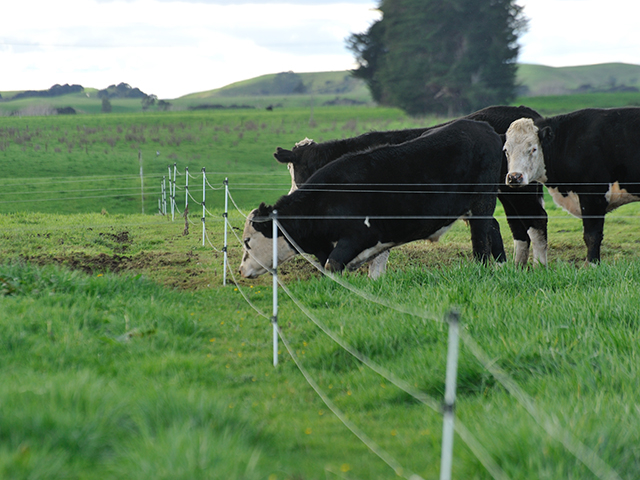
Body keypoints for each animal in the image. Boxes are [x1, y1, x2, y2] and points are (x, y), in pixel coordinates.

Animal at [240, 118, 504, 280]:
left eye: (247, 242)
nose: (241, 269)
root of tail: (483, 127)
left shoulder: (368, 233)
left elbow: (353, 264)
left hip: (482, 202)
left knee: (481, 238)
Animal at [272, 105, 548, 270]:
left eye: (298, 171)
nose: (292, 195)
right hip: (508, 192)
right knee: (516, 228)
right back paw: (514, 268)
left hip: (520, 190)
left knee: (536, 221)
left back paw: (539, 267)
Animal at [504, 107, 640, 264]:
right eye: (506, 151)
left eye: (533, 149)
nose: (514, 177)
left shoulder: (593, 195)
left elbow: (592, 236)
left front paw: (591, 265)